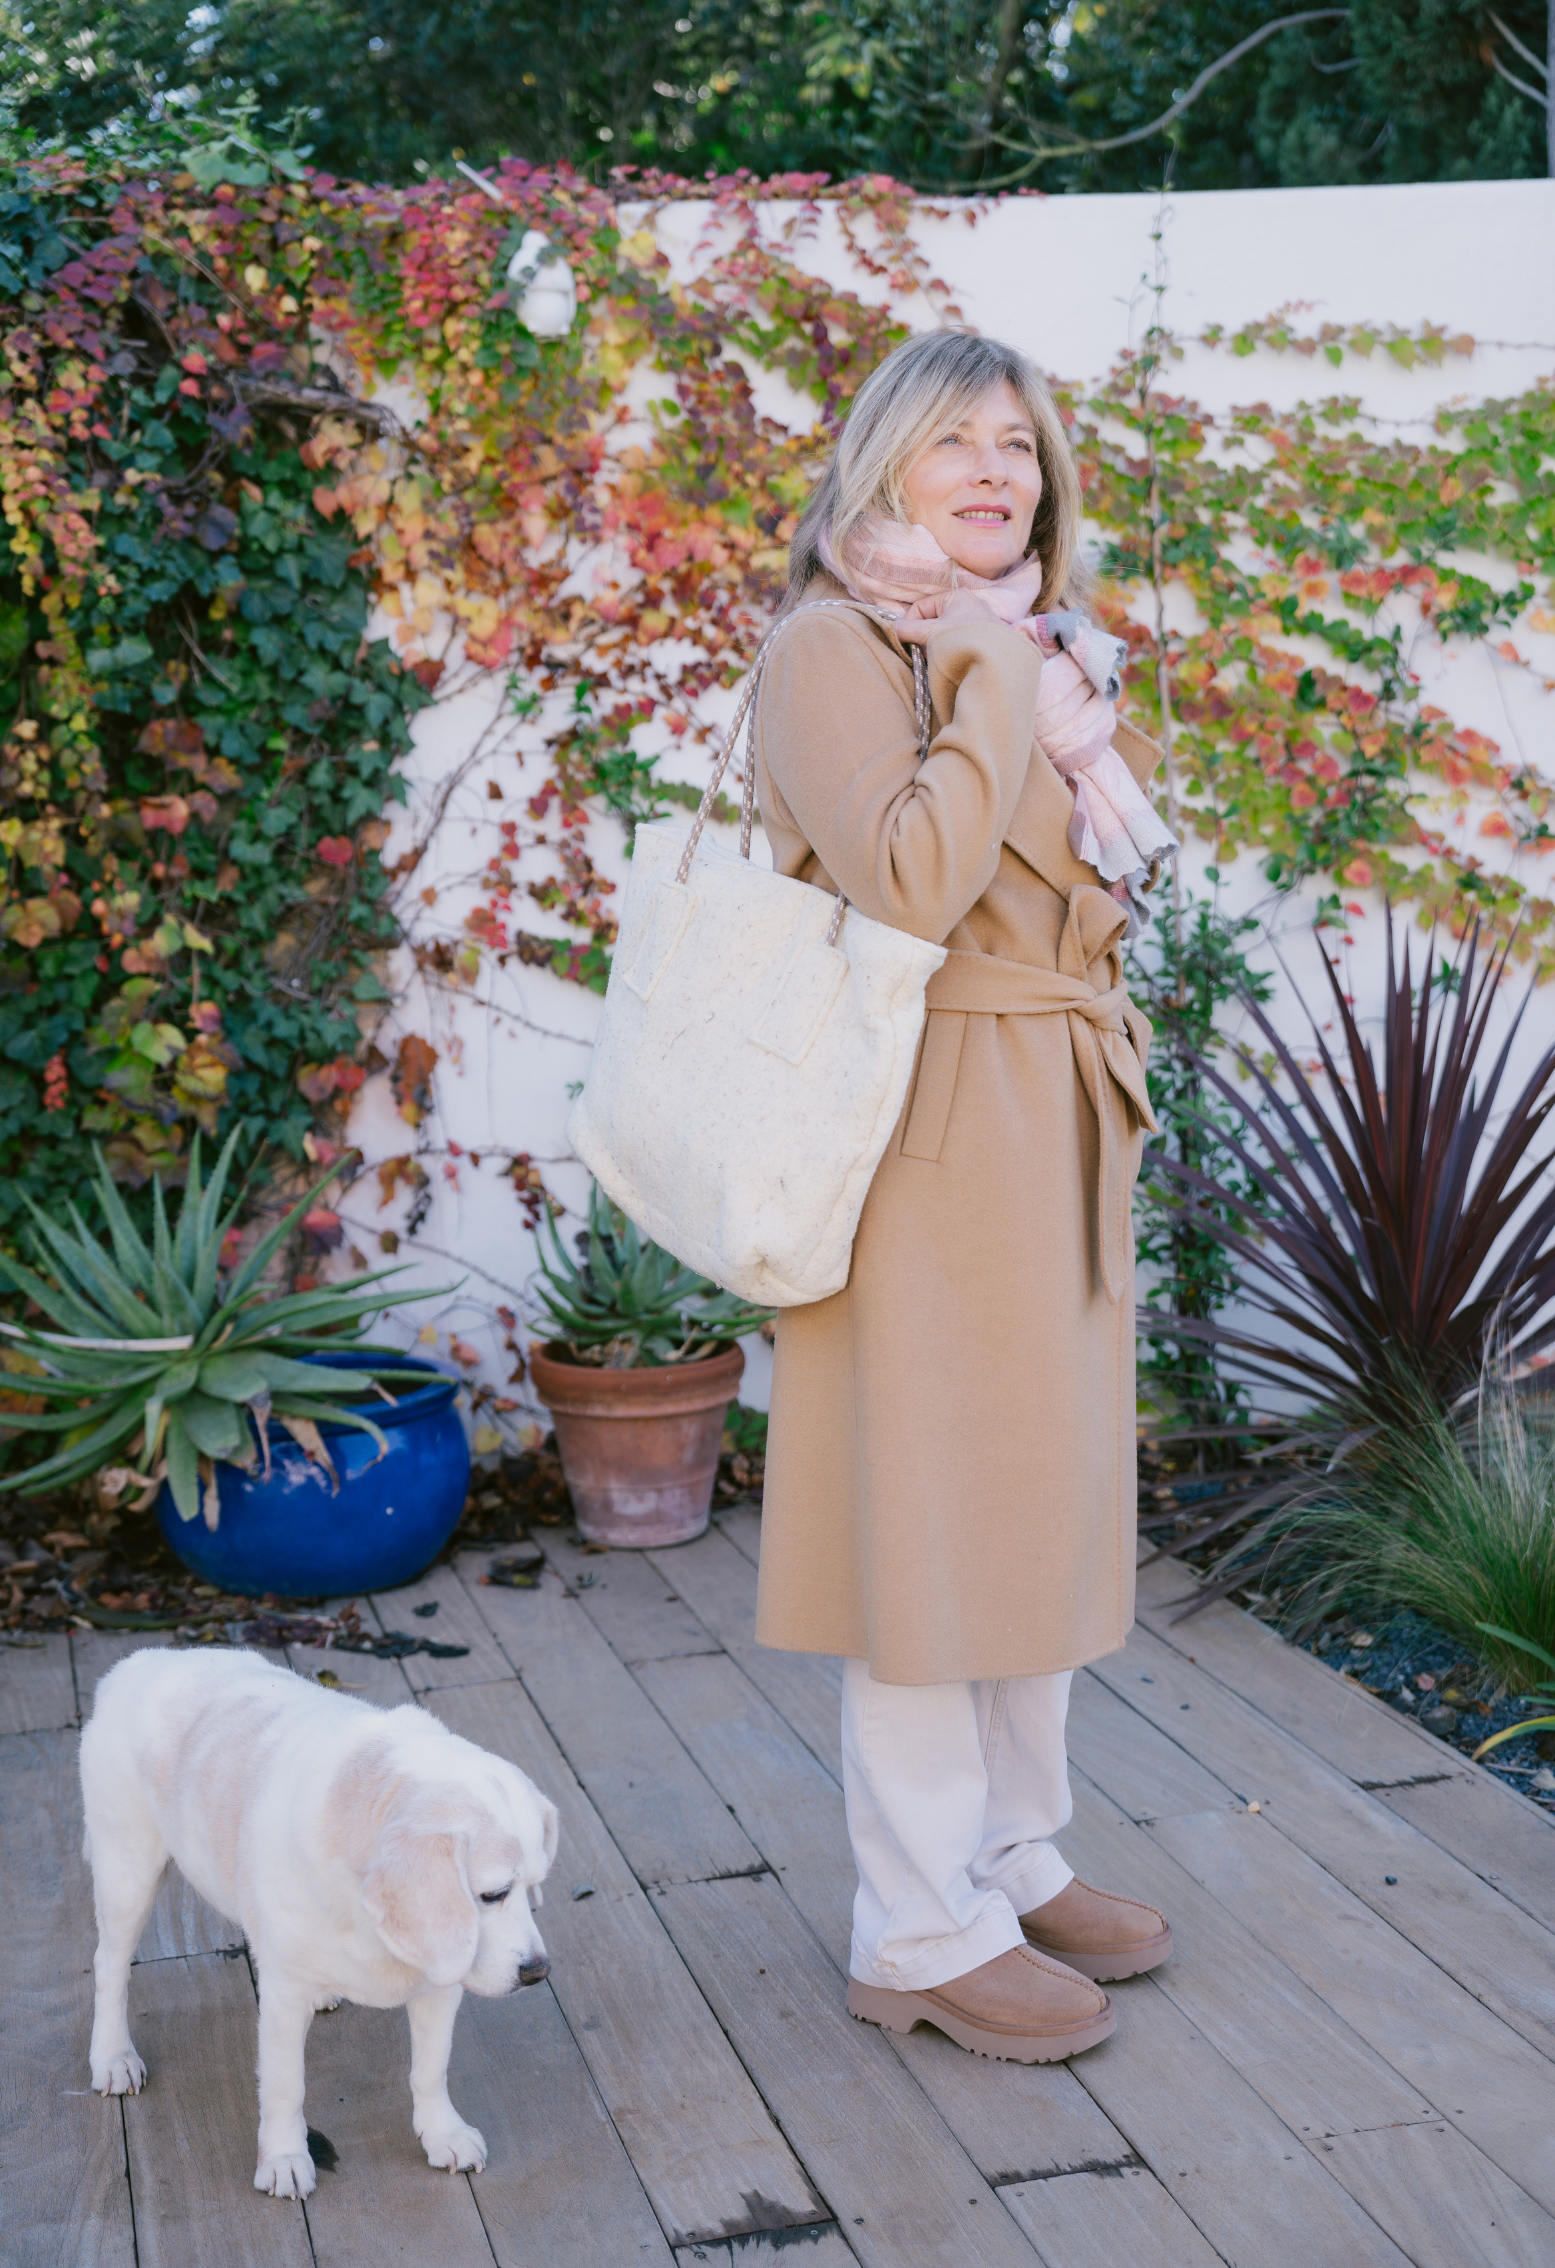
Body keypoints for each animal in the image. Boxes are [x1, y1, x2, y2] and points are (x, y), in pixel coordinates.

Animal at [82, 1651, 559, 2195]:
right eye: (492, 1895)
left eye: (534, 1887)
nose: (538, 1972)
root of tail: (137, 1661)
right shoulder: (284, 2000)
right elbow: (286, 2086)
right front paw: (285, 2157)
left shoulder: (439, 1986)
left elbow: (430, 2070)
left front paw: (443, 2133)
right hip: (129, 1874)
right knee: (110, 1966)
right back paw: (112, 2056)